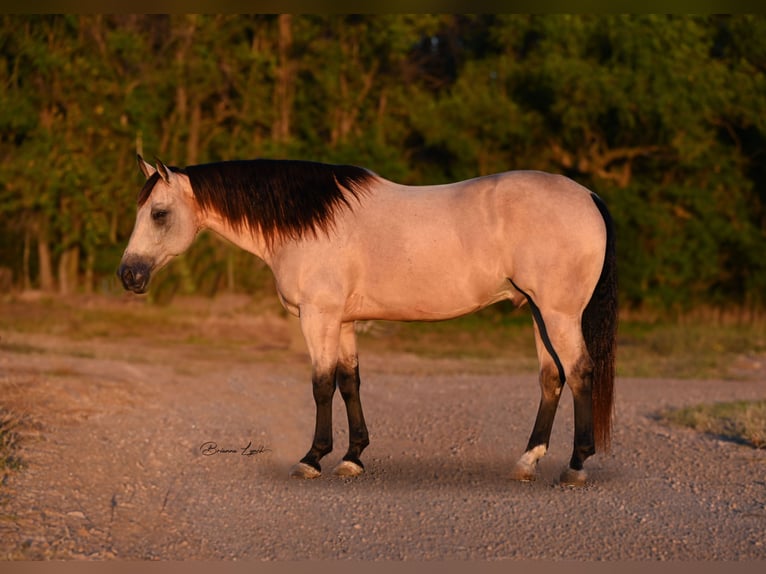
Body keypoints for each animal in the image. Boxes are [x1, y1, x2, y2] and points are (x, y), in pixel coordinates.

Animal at [121, 155, 624, 488]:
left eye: (159, 214)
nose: (129, 275)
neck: (311, 223)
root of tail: (588, 196)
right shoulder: (343, 321)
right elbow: (349, 382)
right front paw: (353, 458)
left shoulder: (319, 317)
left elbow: (321, 384)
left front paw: (312, 458)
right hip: (539, 312)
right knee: (551, 378)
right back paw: (527, 462)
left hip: (559, 314)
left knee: (580, 372)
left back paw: (576, 466)